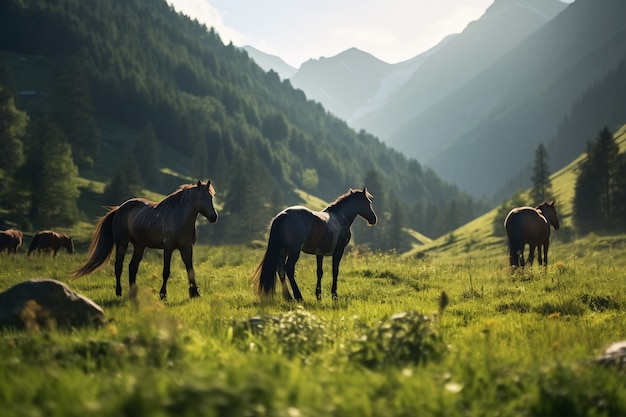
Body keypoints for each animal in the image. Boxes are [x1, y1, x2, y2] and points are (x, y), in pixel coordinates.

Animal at [70, 179, 217, 300]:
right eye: (202, 197)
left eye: (211, 197)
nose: (214, 217)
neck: (179, 218)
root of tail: (119, 209)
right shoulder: (168, 247)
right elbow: (166, 271)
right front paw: (163, 295)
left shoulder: (187, 247)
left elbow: (190, 270)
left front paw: (195, 293)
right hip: (122, 244)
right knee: (119, 267)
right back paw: (119, 292)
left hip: (139, 246)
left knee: (132, 267)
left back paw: (133, 294)